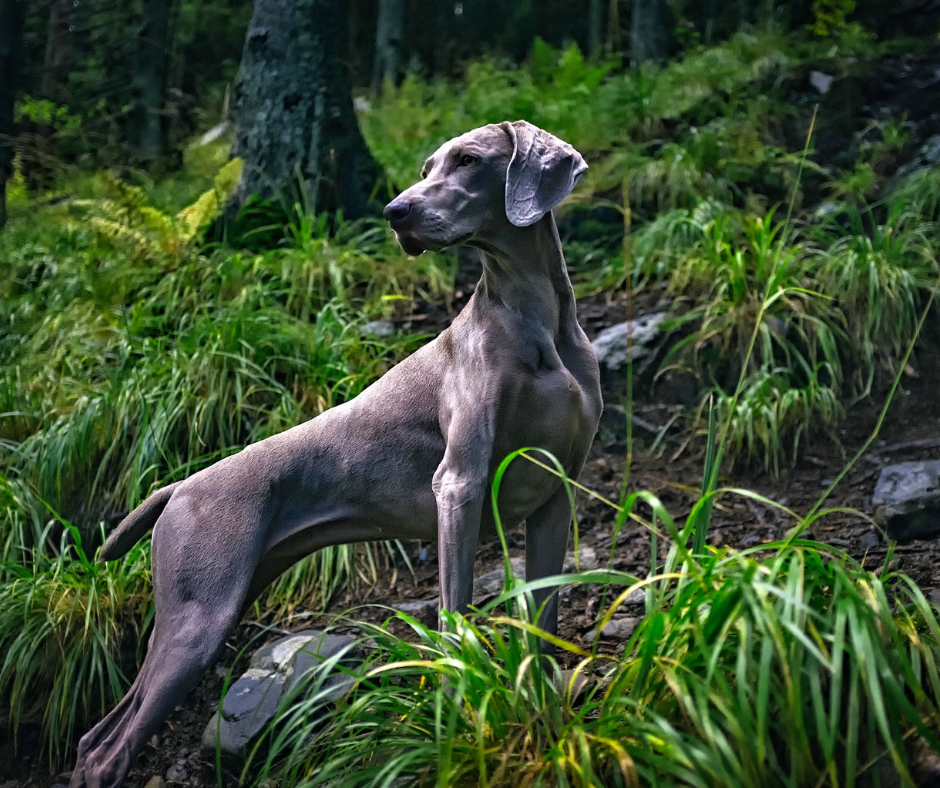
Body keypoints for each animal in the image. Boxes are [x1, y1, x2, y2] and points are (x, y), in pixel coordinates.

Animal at [71, 118, 604, 788]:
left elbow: (545, 621)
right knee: (109, 748)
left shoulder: (558, 493)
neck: (536, 321)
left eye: (467, 160)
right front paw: (460, 705)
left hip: (212, 605)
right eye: (427, 168)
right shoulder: (459, 483)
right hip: (197, 620)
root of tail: (179, 486)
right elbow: (454, 614)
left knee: (96, 735)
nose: (395, 212)